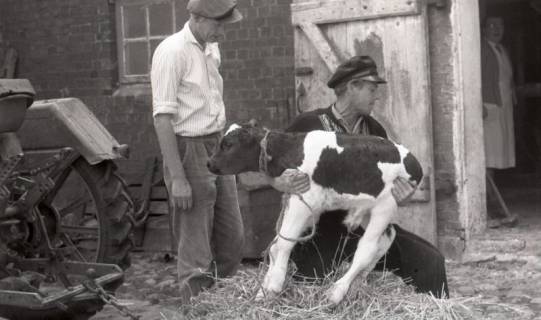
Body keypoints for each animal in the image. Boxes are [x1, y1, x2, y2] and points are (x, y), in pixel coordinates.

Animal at [207, 123, 422, 304]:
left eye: (228, 144)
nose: (209, 163)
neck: (290, 150)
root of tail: (415, 162)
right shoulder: (298, 200)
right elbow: (276, 244)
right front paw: (263, 291)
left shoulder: (304, 199)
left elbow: (283, 244)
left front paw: (274, 286)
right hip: (369, 207)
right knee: (386, 239)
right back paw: (358, 284)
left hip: (385, 206)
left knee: (367, 248)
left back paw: (336, 292)